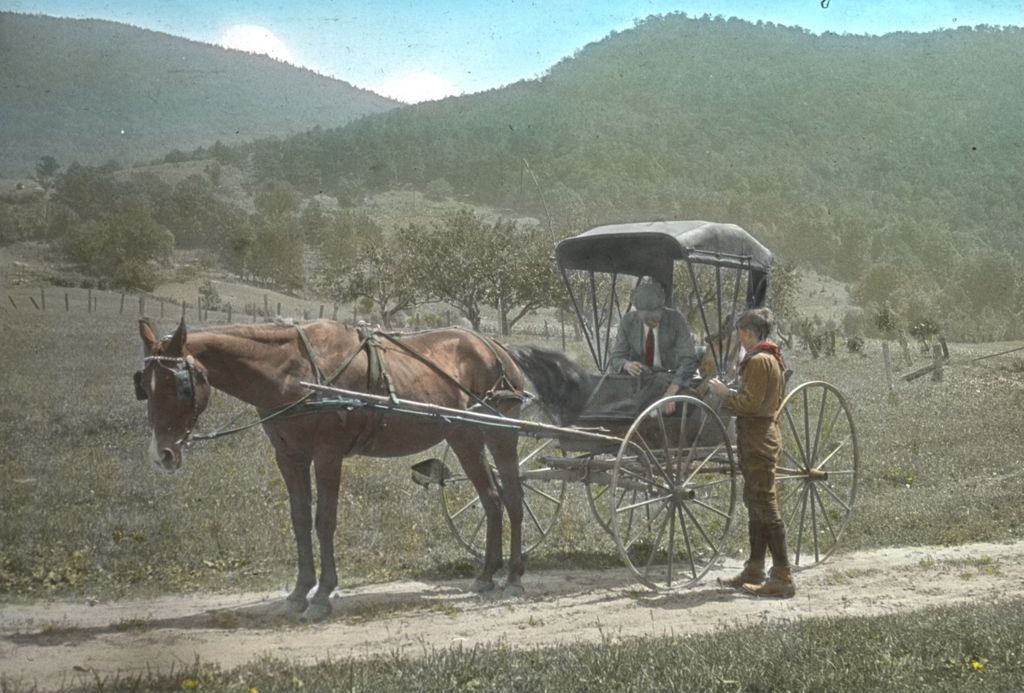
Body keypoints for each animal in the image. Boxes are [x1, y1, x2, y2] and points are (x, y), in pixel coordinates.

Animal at [132, 319, 589, 622]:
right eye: (144, 385)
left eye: (181, 385)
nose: (162, 455)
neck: (294, 371)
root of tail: (496, 345)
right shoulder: (289, 457)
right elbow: (300, 520)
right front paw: (300, 591)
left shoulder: (327, 453)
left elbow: (324, 520)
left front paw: (322, 595)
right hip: (463, 435)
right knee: (491, 499)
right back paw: (486, 575)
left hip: (500, 432)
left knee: (513, 496)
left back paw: (513, 576)